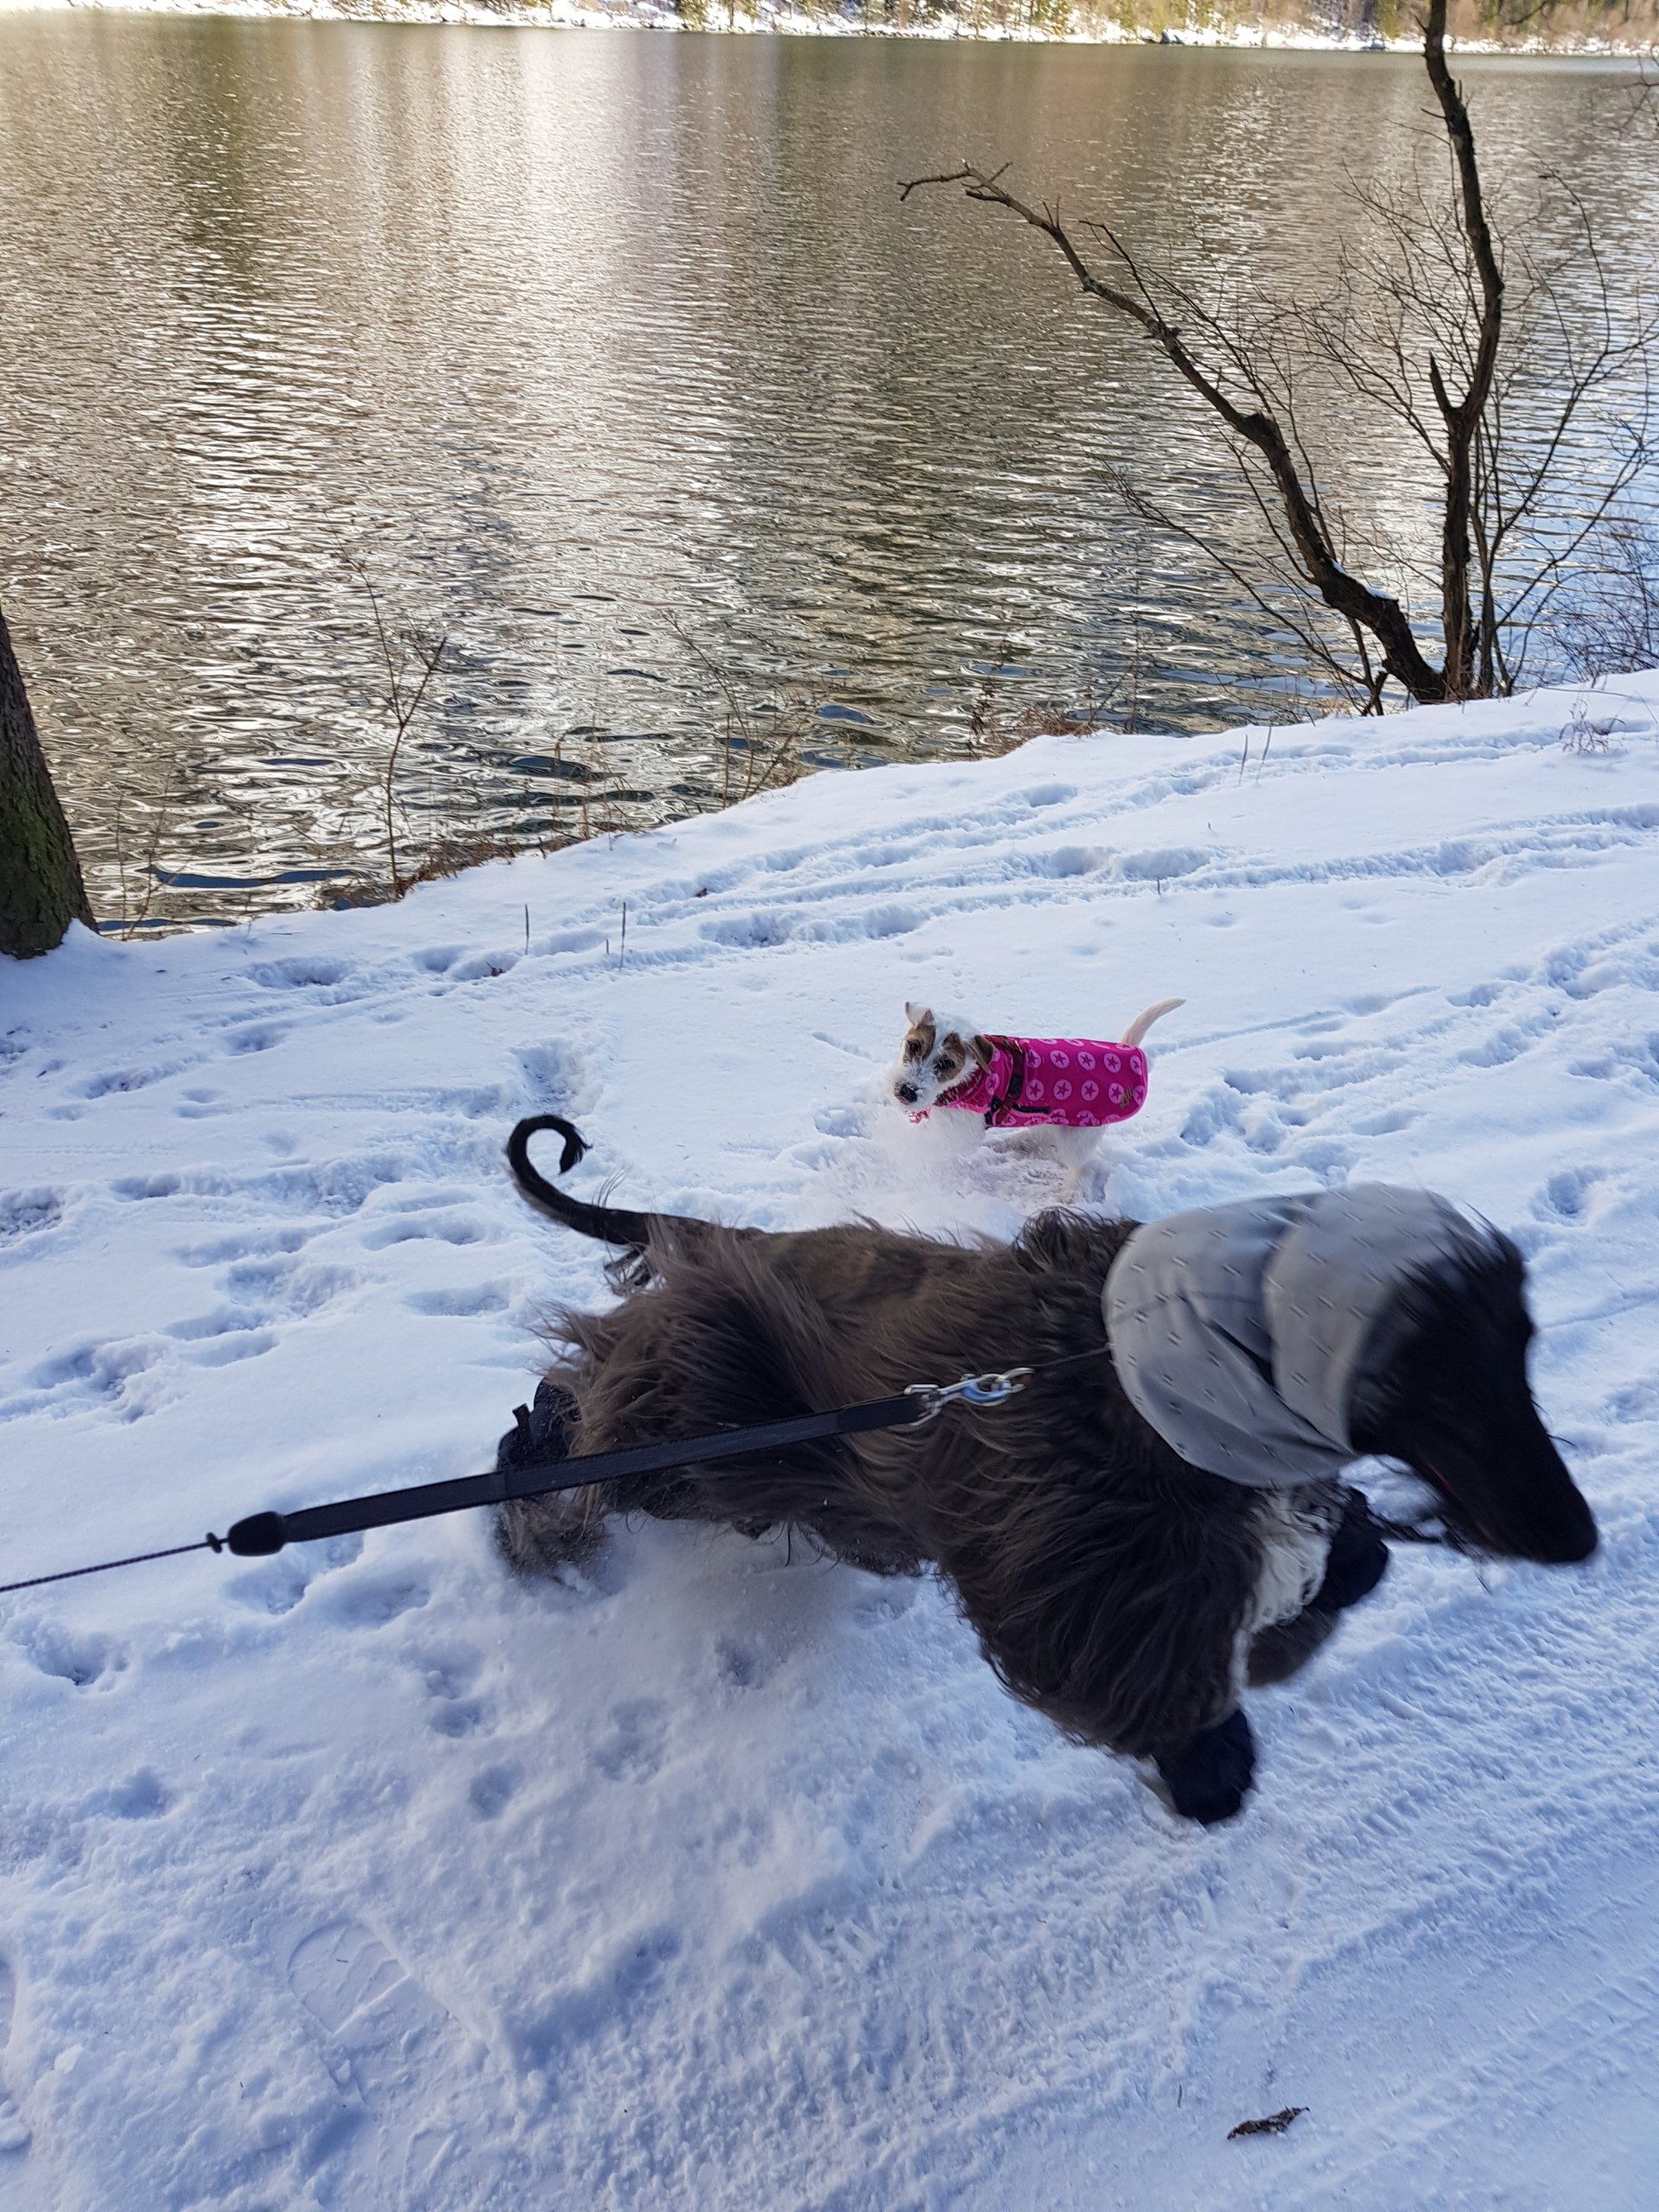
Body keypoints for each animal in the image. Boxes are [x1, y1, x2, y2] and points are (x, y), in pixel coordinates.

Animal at [498, 1118, 1597, 1824]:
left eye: (1525, 1349)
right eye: (1439, 1388)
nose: (1579, 1536)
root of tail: (730, 1239)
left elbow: (1335, 1559)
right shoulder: (1047, 1526)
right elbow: (1113, 1648)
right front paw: (1211, 1759)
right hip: (715, 1401)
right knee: (583, 1411)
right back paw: (531, 1487)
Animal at [891, 1000, 1183, 1192]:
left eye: (946, 1063)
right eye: (913, 1046)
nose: (906, 1092)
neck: (968, 1079)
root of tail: (1129, 1049)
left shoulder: (961, 1133)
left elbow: (929, 1143)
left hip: (1076, 1139)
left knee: (1088, 1165)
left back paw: (1069, 1195)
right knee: (1037, 1138)